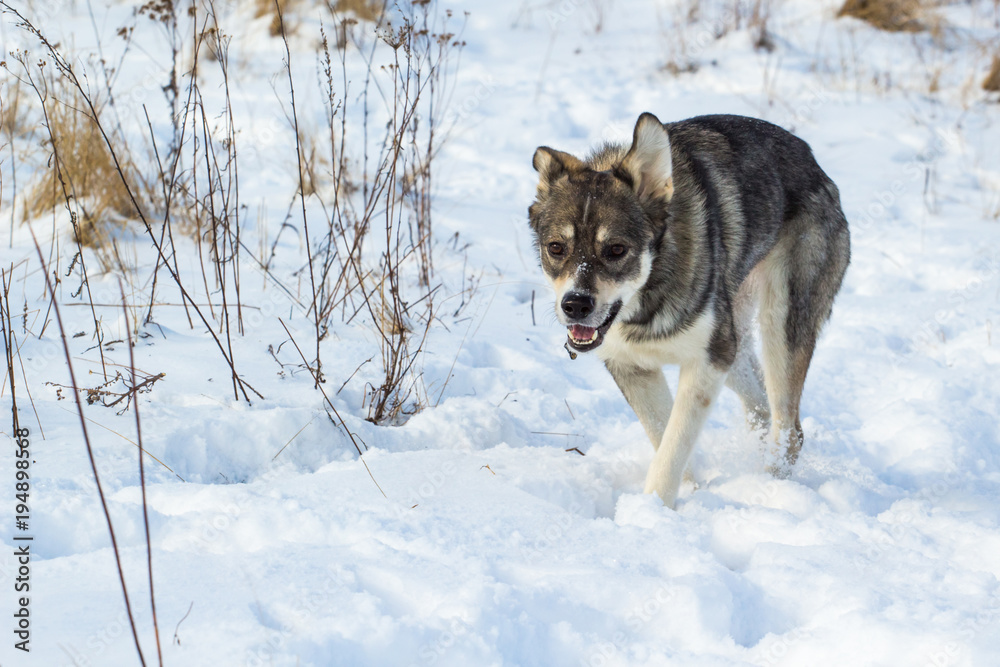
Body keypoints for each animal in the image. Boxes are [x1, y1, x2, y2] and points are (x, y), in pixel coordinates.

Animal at [528, 113, 848, 506]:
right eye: (556, 248)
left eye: (617, 250)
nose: (575, 305)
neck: (647, 299)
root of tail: (816, 165)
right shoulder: (632, 366)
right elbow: (663, 432)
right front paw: (681, 497)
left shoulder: (708, 361)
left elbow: (673, 445)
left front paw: (652, 508)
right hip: (736, 343)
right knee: (760, 407)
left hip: (778, 324)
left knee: (789, 430)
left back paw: (770, 485)